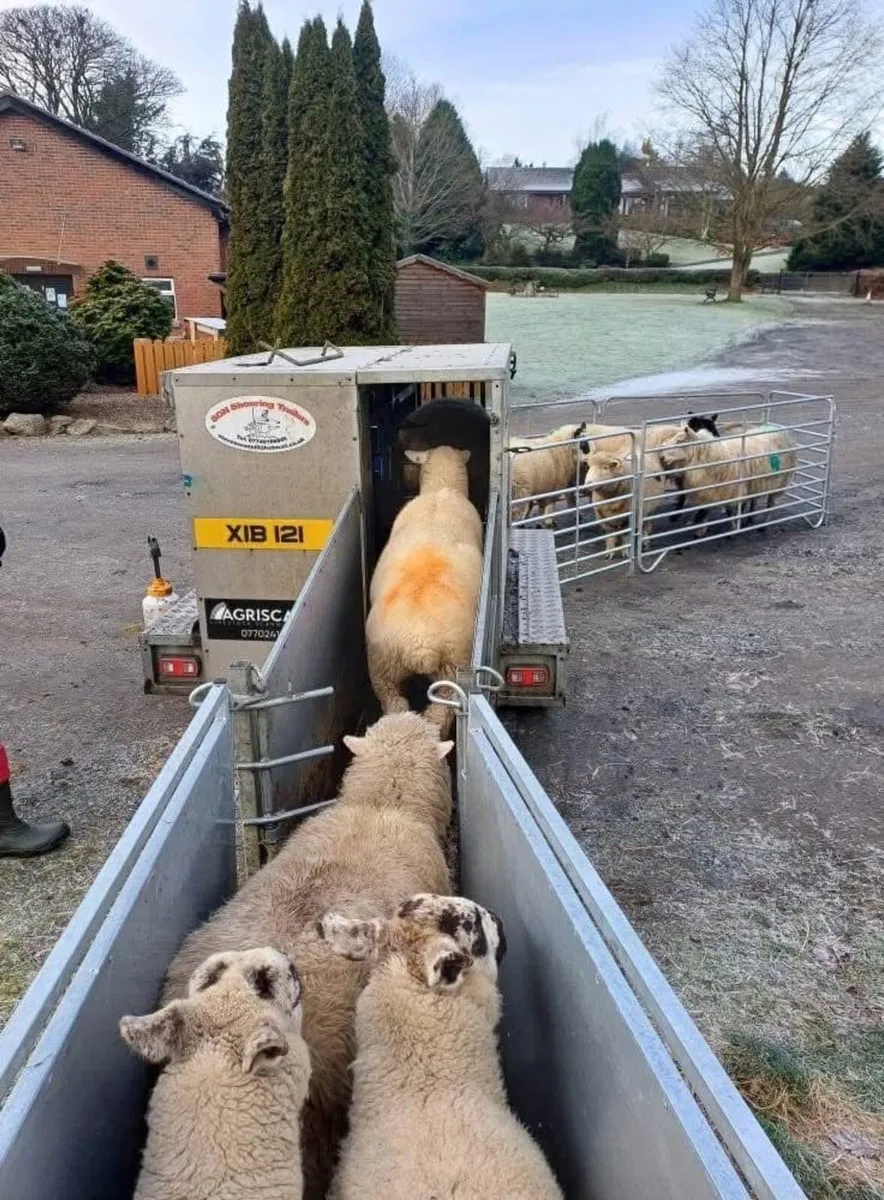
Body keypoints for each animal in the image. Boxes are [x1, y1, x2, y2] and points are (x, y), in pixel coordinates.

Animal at [365, 444, 482, 732]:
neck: (441, 489)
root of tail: (418, 645)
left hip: (384, 669)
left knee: (396, 706)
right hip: (451, 671)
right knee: (439, 715)